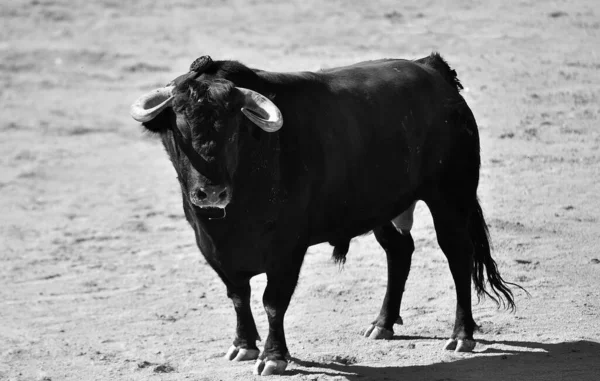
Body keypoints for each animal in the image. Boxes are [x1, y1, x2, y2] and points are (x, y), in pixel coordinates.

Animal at [132, 52, 520, 374]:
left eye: (234, 130)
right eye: (178, 129)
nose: (211, 192)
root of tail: (432, 68)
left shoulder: (287, 250)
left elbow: (273, 302)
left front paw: (273, 357)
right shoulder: (212, 247)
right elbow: (238, 296)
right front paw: (243, 345)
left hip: (450, 196)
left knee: (457, 255)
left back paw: (462, 335)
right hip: (384, 206)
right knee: (399, 252)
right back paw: (382, 324)